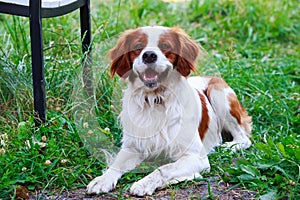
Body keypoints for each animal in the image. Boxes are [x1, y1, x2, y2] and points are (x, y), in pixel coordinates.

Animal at [86, 25, 251, 196]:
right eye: (138, 46)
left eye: (165, 46)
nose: (149, 56)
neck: (155, 99)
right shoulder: (132, 147)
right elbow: (116, 164)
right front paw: (102, 180)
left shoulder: (196, 157)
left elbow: (164, 168)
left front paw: (143, 184)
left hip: (218, 93)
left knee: (244, 138)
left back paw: (228, 147)